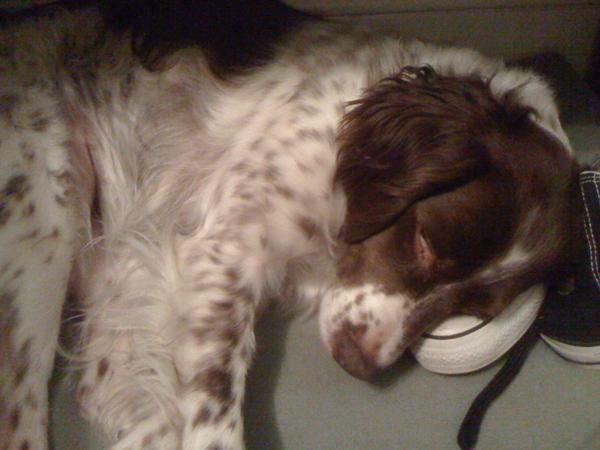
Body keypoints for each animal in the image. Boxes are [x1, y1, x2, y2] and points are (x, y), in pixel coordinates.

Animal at [0, 1, 583, 449]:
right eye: (425, 241)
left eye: (472, 311)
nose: (358, 362)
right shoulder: (225, 249)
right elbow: (215, 410)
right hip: (41, 229)